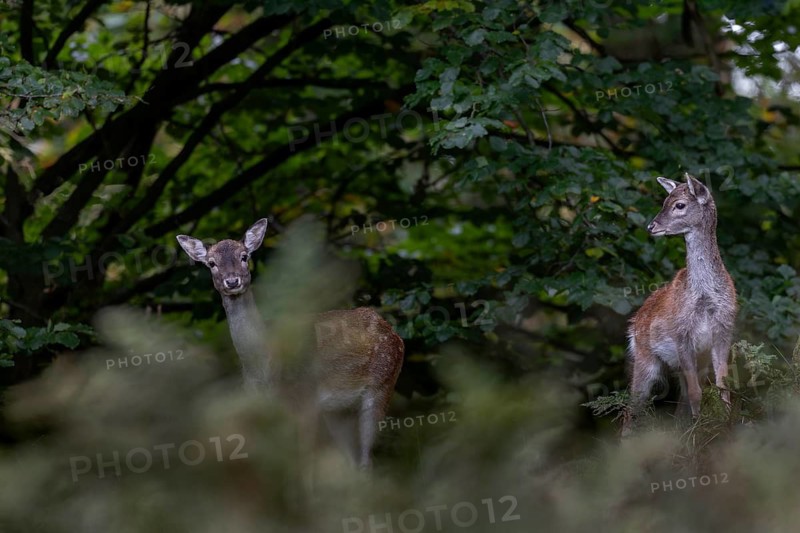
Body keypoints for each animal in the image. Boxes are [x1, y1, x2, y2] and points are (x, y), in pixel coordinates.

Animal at [176, 218, 404, 468]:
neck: (265, 366)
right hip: (339, 409)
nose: (233, 280)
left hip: (382, 382)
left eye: (244, 256)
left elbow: (304, 461)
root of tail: (394, 332)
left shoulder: (306, 398)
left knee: (366, 460)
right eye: (211, 263)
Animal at [622, 174, 737, 436]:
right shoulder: (681, 333)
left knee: (678, 405)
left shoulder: (724, 330)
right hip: (645, 358)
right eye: (664, 201)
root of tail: (634, 321)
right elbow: (696, 393)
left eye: (680, 205)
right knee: (630, 409)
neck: (705, 299)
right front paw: (699, 432)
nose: (651, 227)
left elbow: (723, 386)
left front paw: (727, 424)